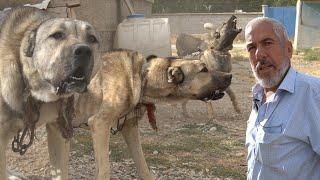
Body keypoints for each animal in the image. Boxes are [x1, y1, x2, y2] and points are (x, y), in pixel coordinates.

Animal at [73, 49, 231, 180]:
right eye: (204, 70)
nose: (230, 75)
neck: (142, 77)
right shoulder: (99, 125)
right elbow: (104, 171)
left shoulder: (129, 128)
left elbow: (143, 168)